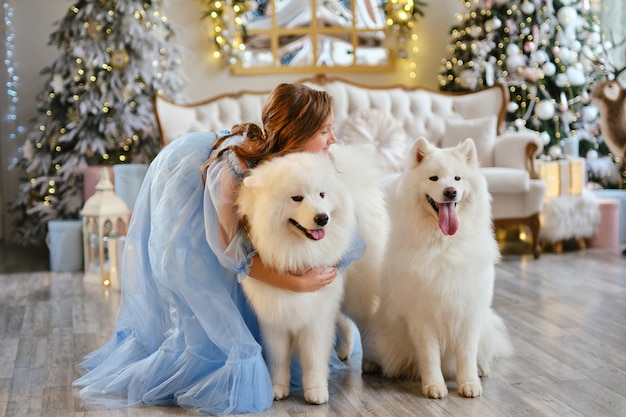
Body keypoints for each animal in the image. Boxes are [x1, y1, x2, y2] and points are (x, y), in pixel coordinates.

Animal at [238, 145, 388, 404]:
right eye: (297, 198)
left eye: (321, 195)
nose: (322, 218)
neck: (298, 252)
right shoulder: (274, 315)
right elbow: (278, 358)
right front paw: (277, 388)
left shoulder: (316, 317)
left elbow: (313, 357)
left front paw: (316, 391)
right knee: (346, 322)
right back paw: (344, 351)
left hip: (357, 295)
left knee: (366, 322)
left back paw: (369, 360)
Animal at [360, 136, 512, 396]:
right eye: (434, 178)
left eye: (457, 178)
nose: (450, 192)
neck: (444, 245)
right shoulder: (422, 317)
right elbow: (429, 355)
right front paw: (434, 386)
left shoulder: (469, 313)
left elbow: (467, 354)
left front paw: (469, 384)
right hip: (383, 336)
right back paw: (370, 364)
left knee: (482, 352)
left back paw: (482, 368)